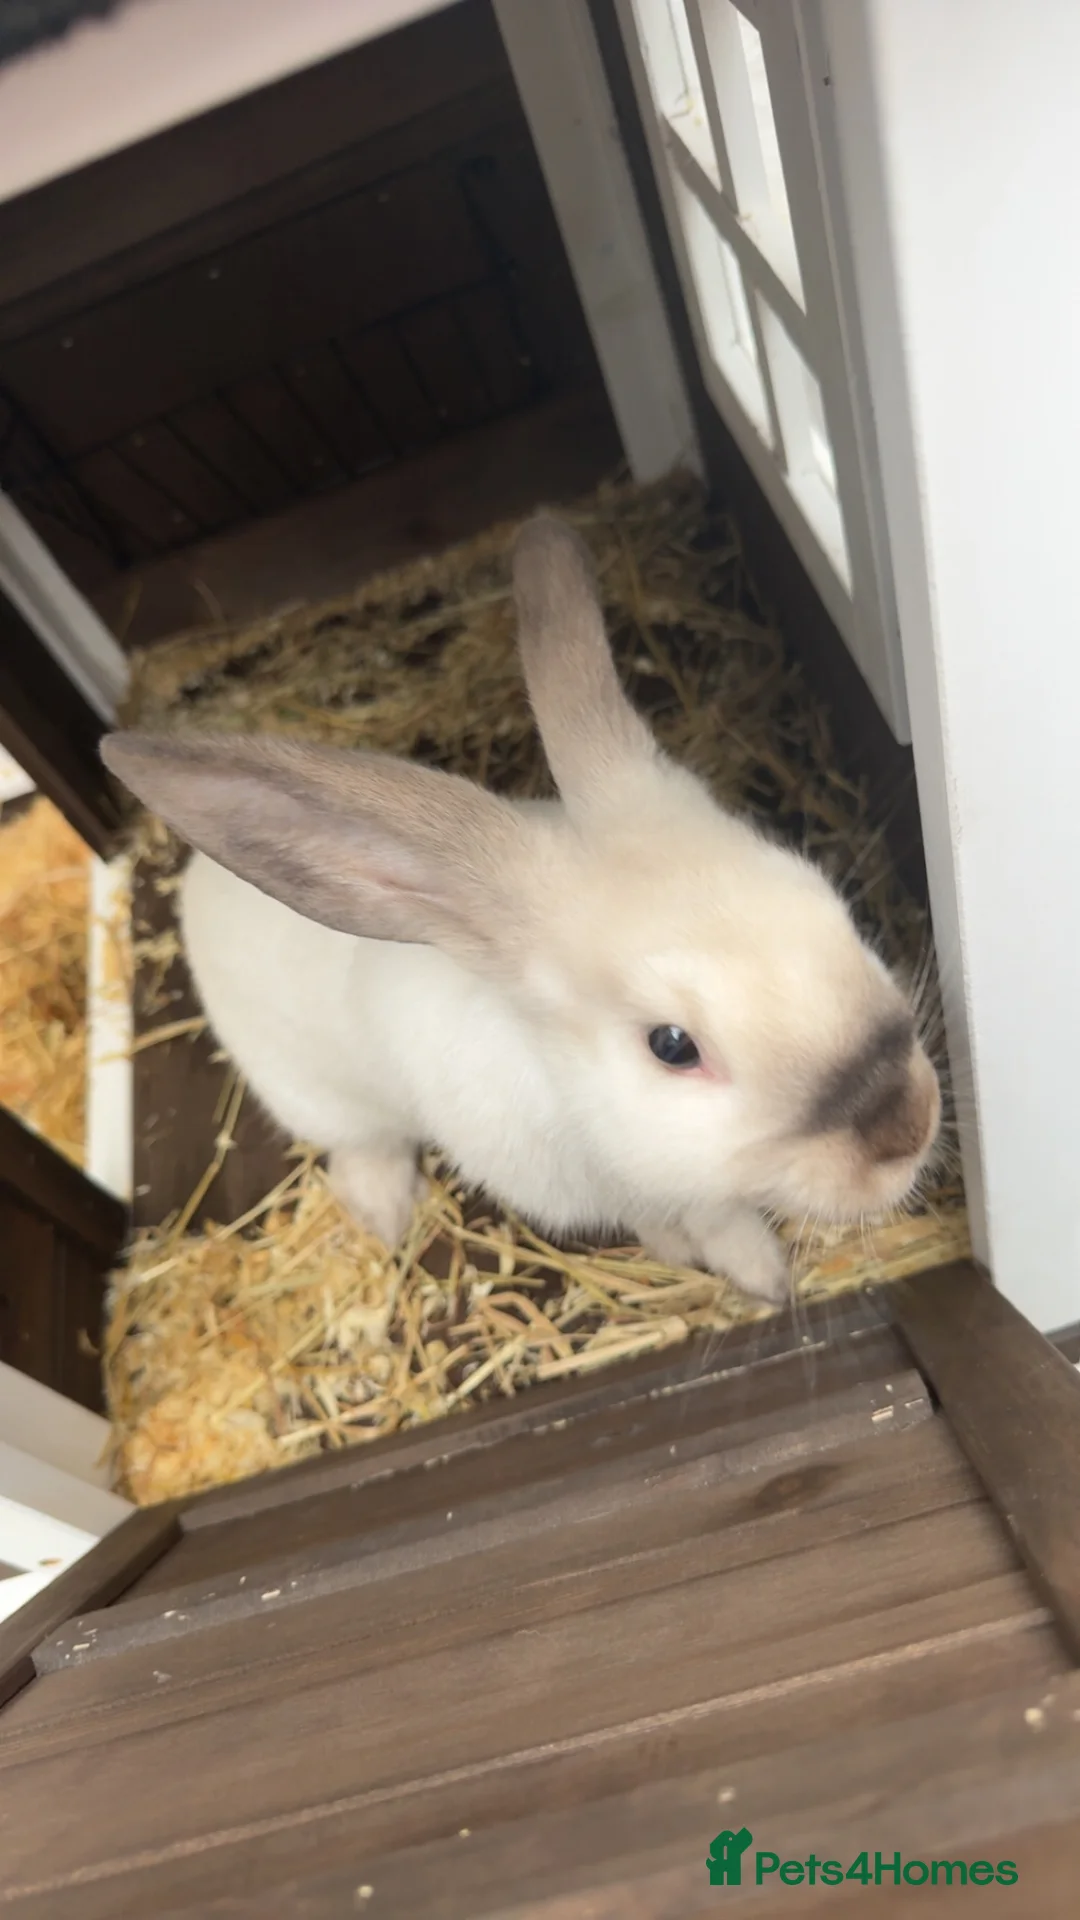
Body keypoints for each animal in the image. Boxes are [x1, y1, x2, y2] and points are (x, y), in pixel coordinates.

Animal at [101, 513, 940, 1306]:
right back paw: (386, 1210)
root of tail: (200, 884)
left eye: (826, 899)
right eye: (672, 1046)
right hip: (312, 1093)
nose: (906, 1125)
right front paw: (734, 1267)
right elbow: (680, 1217)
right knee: (360, 1145)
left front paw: (761, 1276)